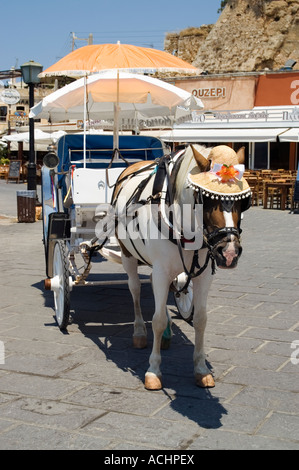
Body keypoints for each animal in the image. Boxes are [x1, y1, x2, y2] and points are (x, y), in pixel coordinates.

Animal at [109, 143, 252, 390]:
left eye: (243, 202)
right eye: (206, 199)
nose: (229, 252)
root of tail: (133, 165)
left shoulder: (202, 276)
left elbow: (201, 319)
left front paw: (201, 369)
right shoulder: (160, 271)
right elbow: (156, 320)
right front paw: (153, 370)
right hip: (128, 255)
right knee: (135, 288)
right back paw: (139, 331)